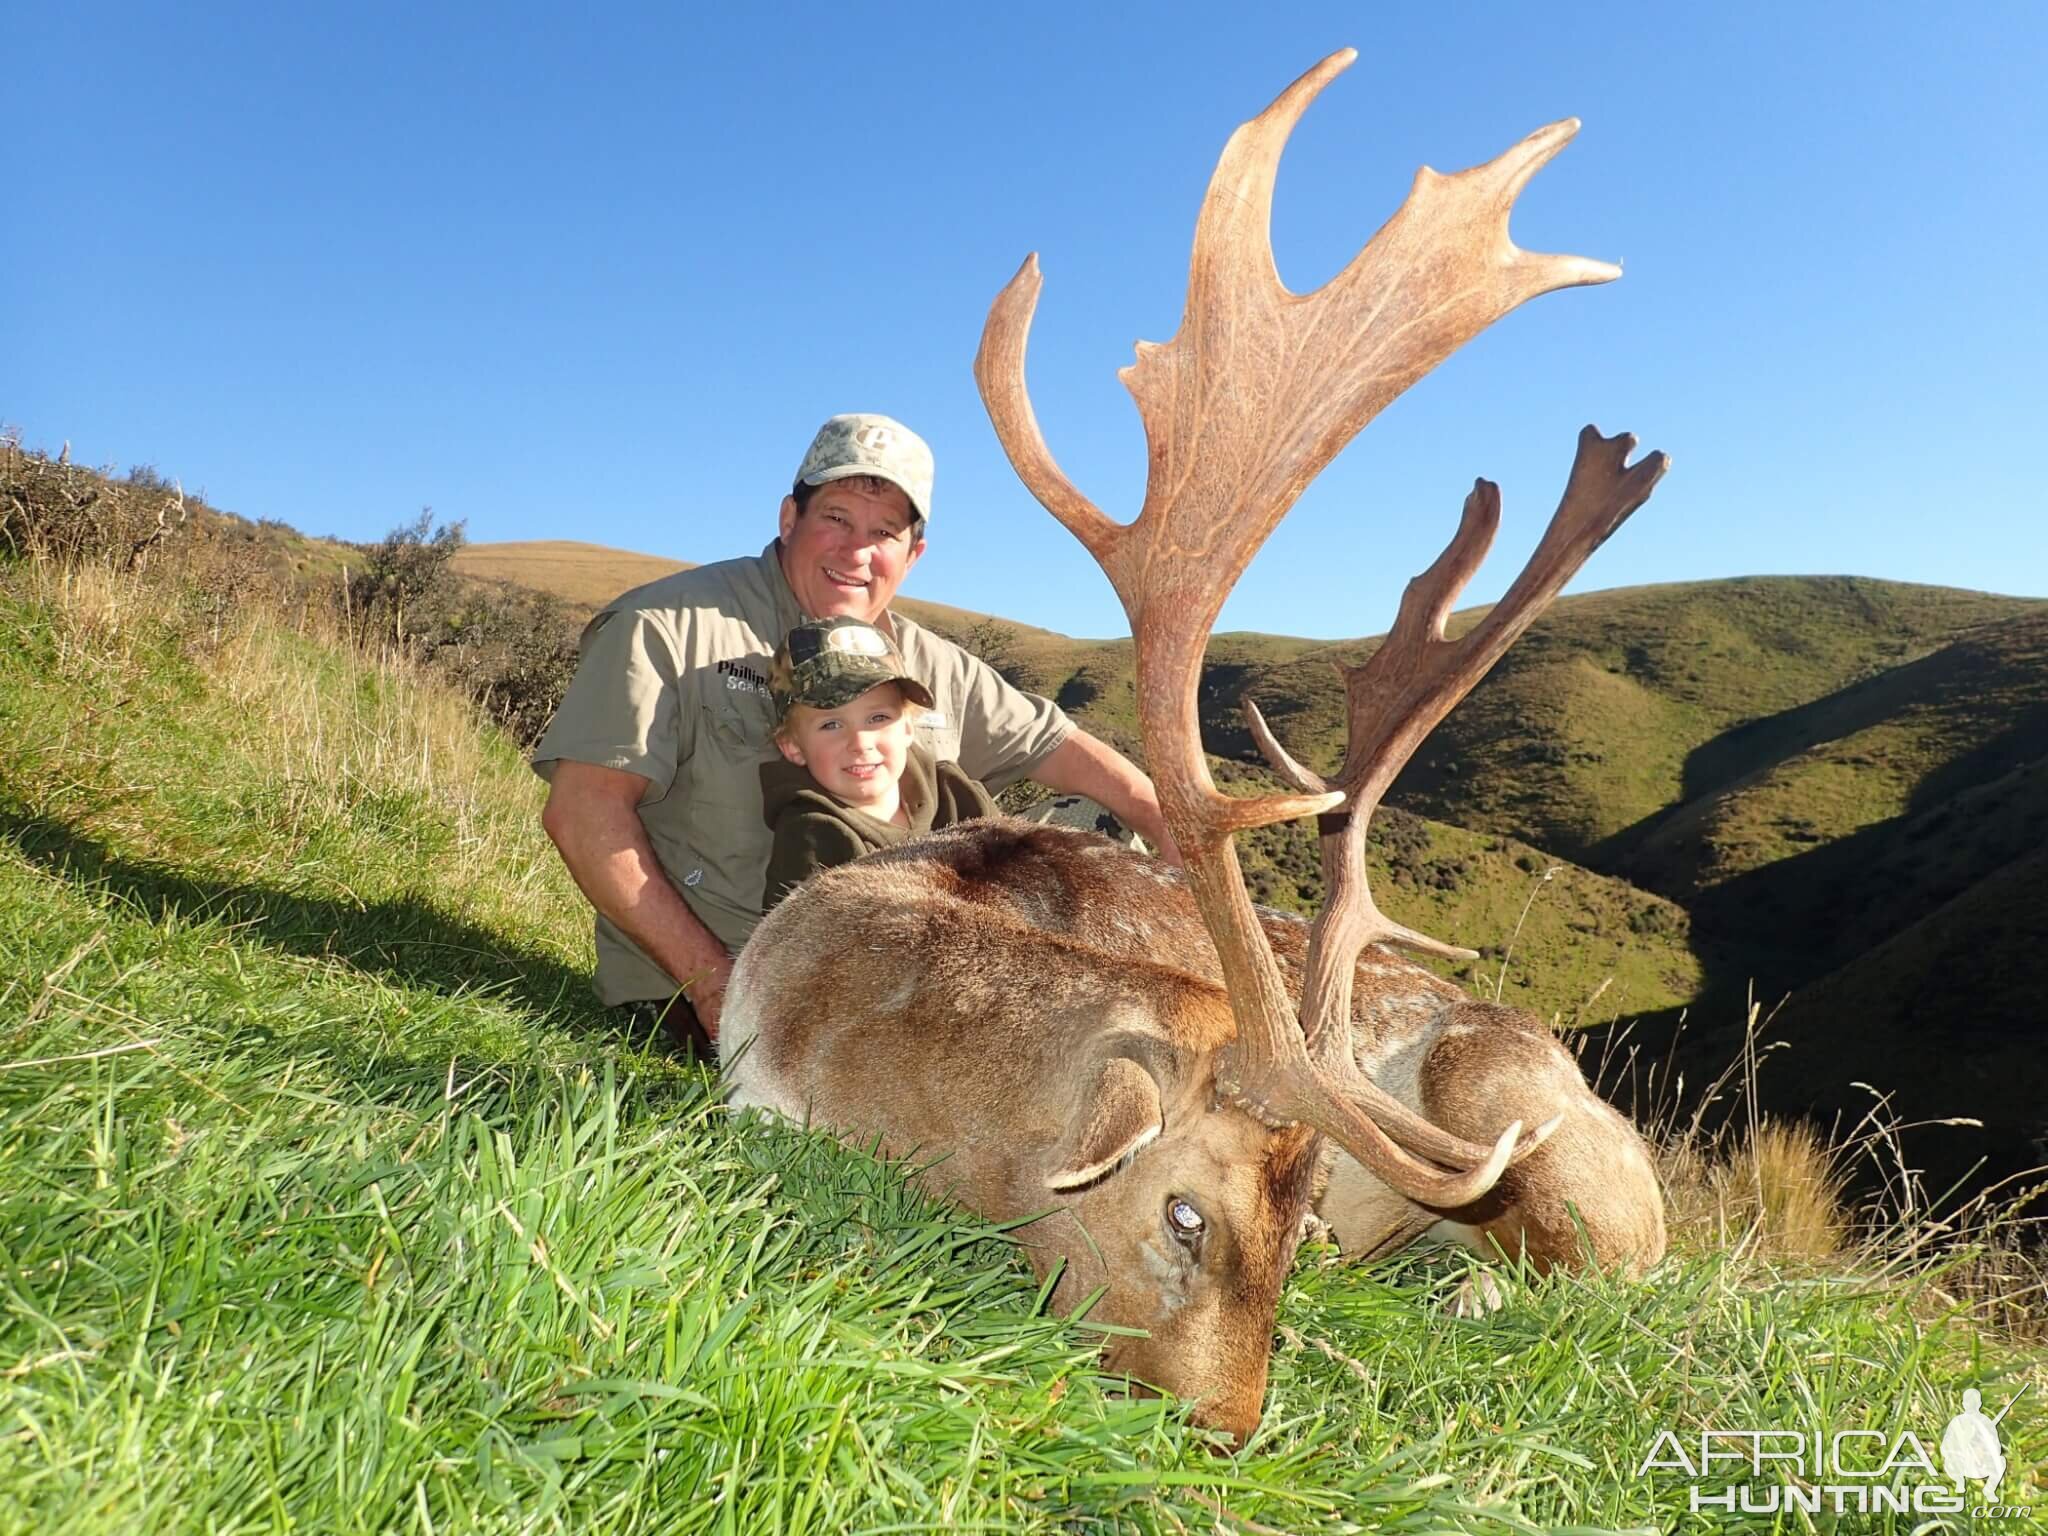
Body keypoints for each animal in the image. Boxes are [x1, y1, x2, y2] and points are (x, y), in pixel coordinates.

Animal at [720, 45, 1662, 1441]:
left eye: (1300, 1224)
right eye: (1183, 1215)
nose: (1223, 1431)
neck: (818, 1033)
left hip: (1525, 1128)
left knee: (1594, 1279)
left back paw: (1468, 1294)